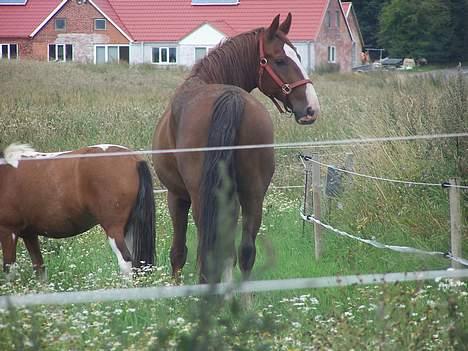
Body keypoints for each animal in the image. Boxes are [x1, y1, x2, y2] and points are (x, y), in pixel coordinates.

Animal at [0, 143, 157, 278]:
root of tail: (133, 159)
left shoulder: (8, 232)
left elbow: (9, 271)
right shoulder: (29, 234)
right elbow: (40, 269)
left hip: (114, 229)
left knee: (125, 261)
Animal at [154, 13, 322, 286]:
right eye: (281, 60)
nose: (311, 108)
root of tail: (231, 99)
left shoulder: (176, 196)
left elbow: (178, 252)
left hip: (203, 198)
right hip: (253, 195)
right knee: (244, 252)